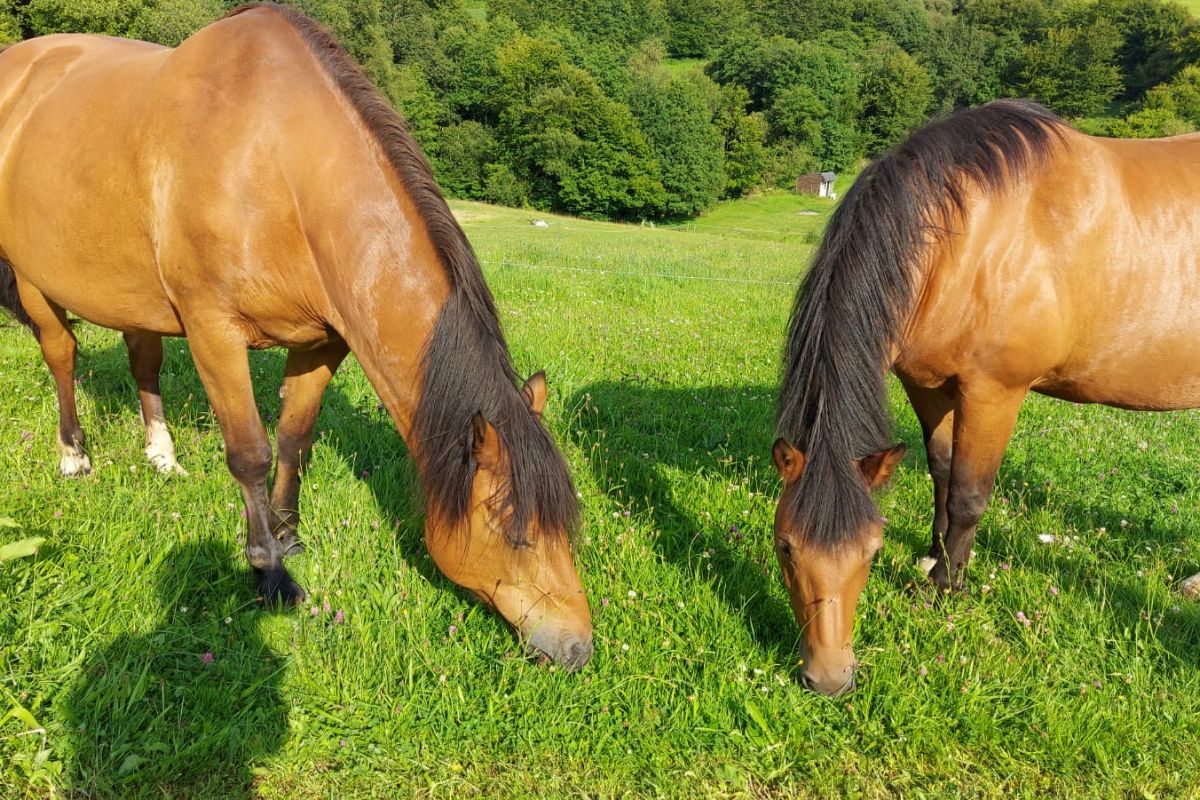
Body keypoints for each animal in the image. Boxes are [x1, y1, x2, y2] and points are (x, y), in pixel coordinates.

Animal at [0, 4, 597, 671]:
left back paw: (162, 455)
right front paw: (269, 571)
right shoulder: (213, 333)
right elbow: (250, 453)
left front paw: (289, 536)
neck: (277, 163)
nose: (577, 646)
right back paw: (74, 456)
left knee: (143, 357)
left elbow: (294, 441)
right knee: (62, 355)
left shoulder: (321, 342)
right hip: (34, 282)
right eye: (516, 534)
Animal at [772, 100, 1200, 695]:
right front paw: (934, 556)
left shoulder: (994, 393)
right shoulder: (927, 385)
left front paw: (947, 586)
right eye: (785, 546)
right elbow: (942, 470)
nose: (829, 678)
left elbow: (969, 494)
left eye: (871, 552)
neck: (967, 238)